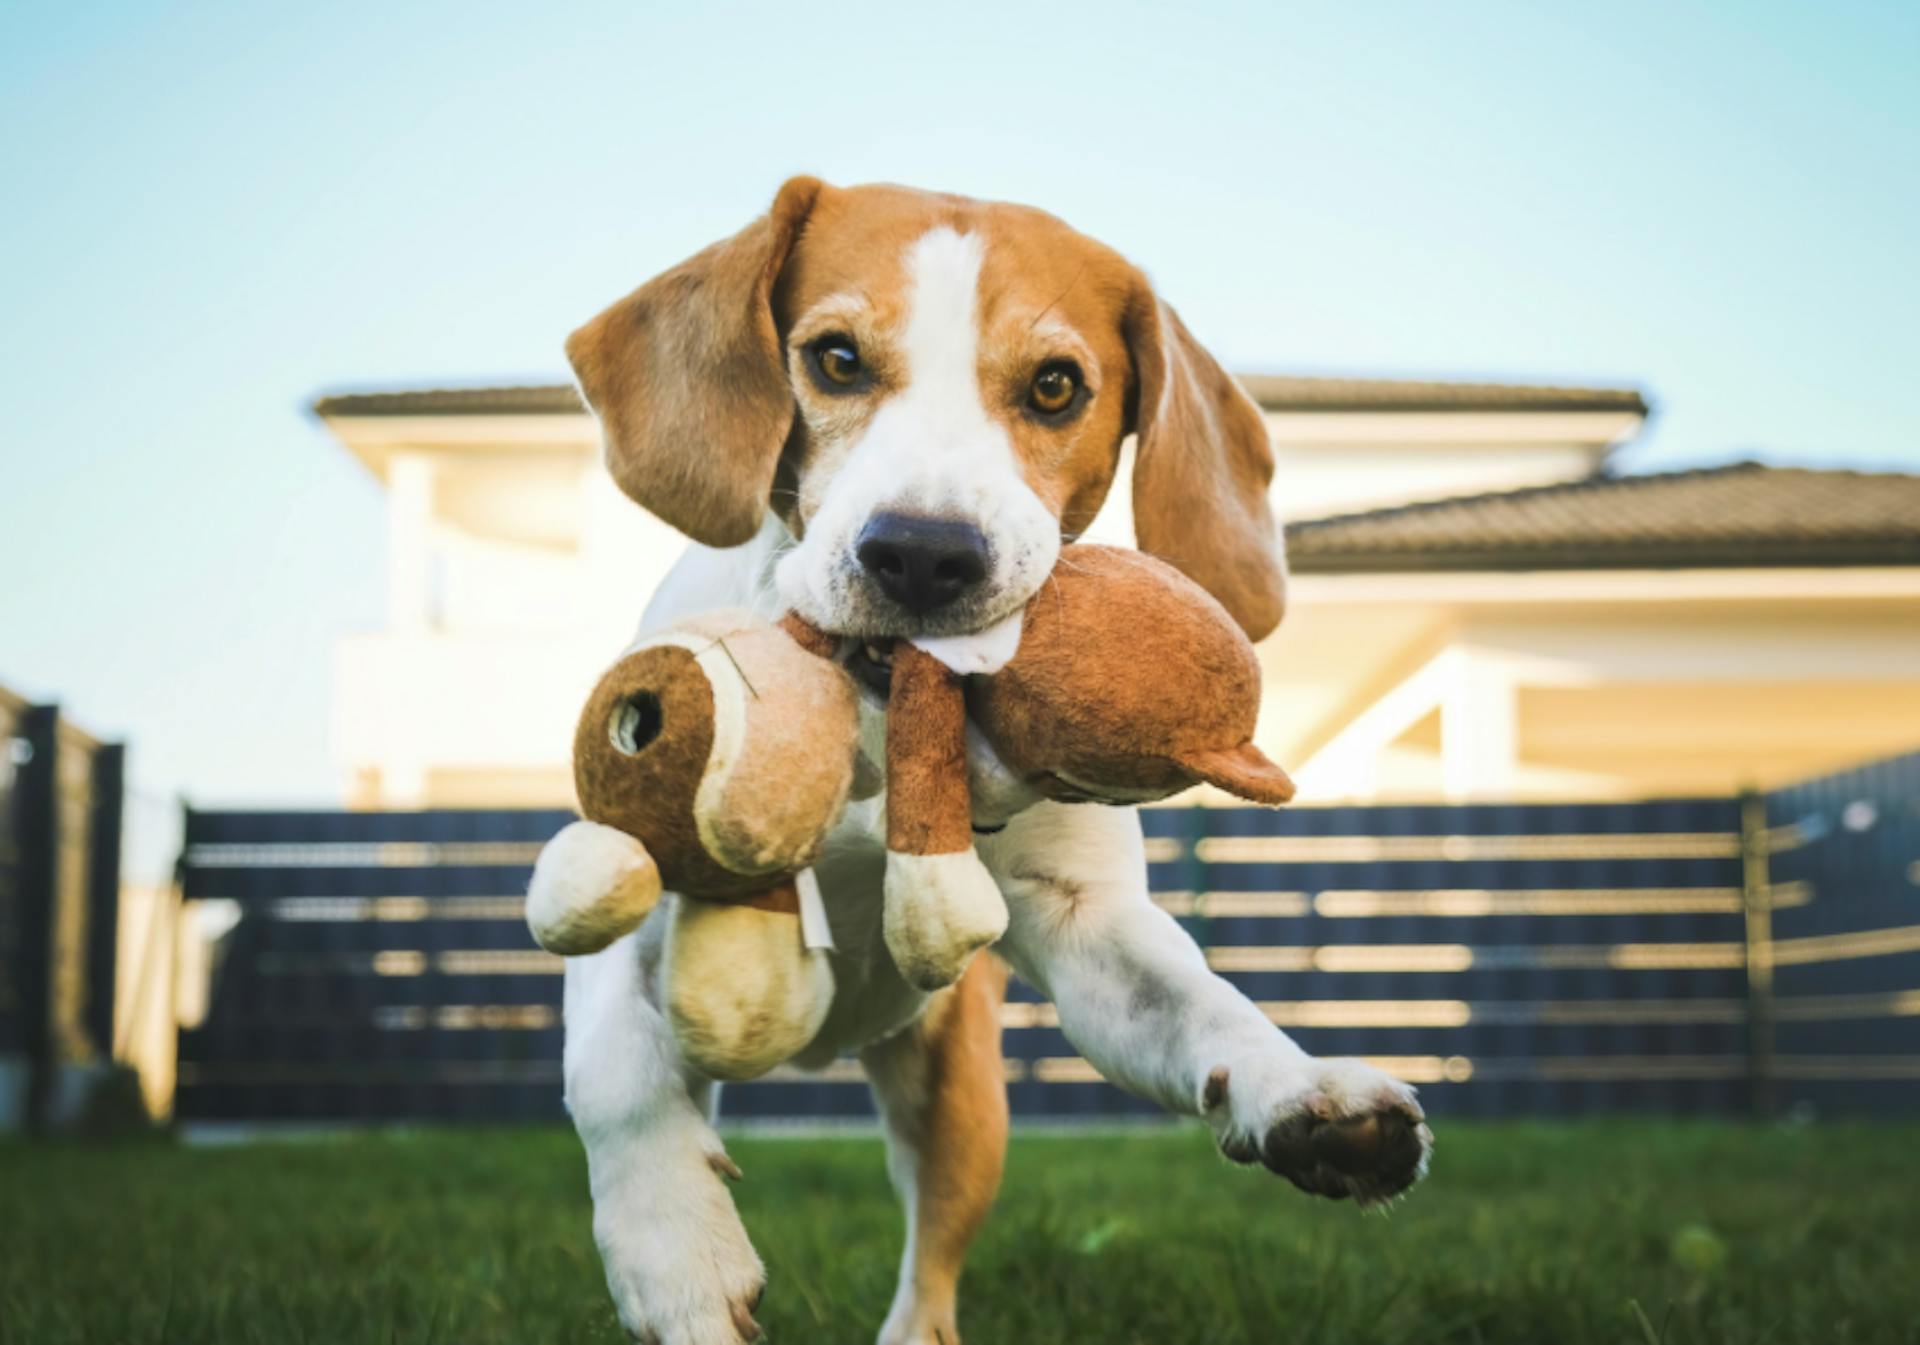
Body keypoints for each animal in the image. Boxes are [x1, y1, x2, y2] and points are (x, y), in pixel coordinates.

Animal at [556, 181, 1428, 1343]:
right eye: (835, 359)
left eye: (1056, 386)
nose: (924, 551)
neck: (880, 721)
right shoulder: (630, 884)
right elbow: (611, 1069)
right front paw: (674, 1251)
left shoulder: (1086, 925)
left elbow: (1204, 1004)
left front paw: (1298, 1093)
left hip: (960, 1100)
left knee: (930, 1262)